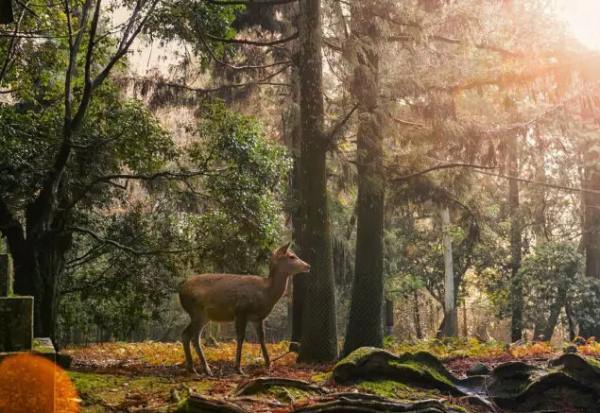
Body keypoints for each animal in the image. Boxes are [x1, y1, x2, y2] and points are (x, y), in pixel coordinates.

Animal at [177, 241, 310, 374]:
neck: (265, 294)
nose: (308, 266)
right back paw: (206, 369)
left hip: (202, 315)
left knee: (186, 334)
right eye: (292, 256)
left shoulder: (258, 318)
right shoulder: (241, 311)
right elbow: (241, 337)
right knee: (195, 338)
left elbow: (262, 338)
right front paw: (238, 368)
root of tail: (181, 290)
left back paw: (192, 368)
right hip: (197, 311)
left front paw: (268, 364)